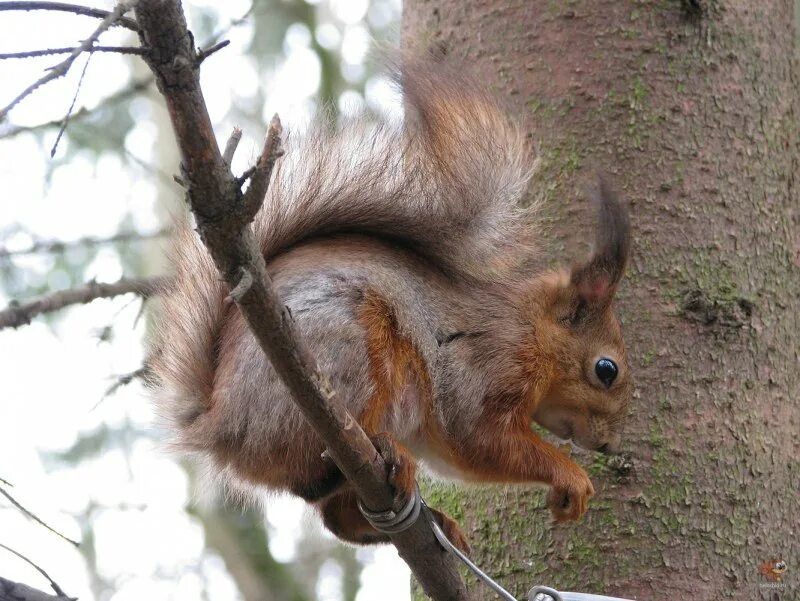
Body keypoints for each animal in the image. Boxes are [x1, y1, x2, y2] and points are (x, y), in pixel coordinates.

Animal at [148, 58, 632, 552]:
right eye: (606, 370)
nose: (611, 446)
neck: (531, 331)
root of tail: (218, 425)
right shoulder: (487, 366)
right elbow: (479, 438)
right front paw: (571, 476)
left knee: (336, 517)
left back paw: (435, 521)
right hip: (346, 353)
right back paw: (384, 452)